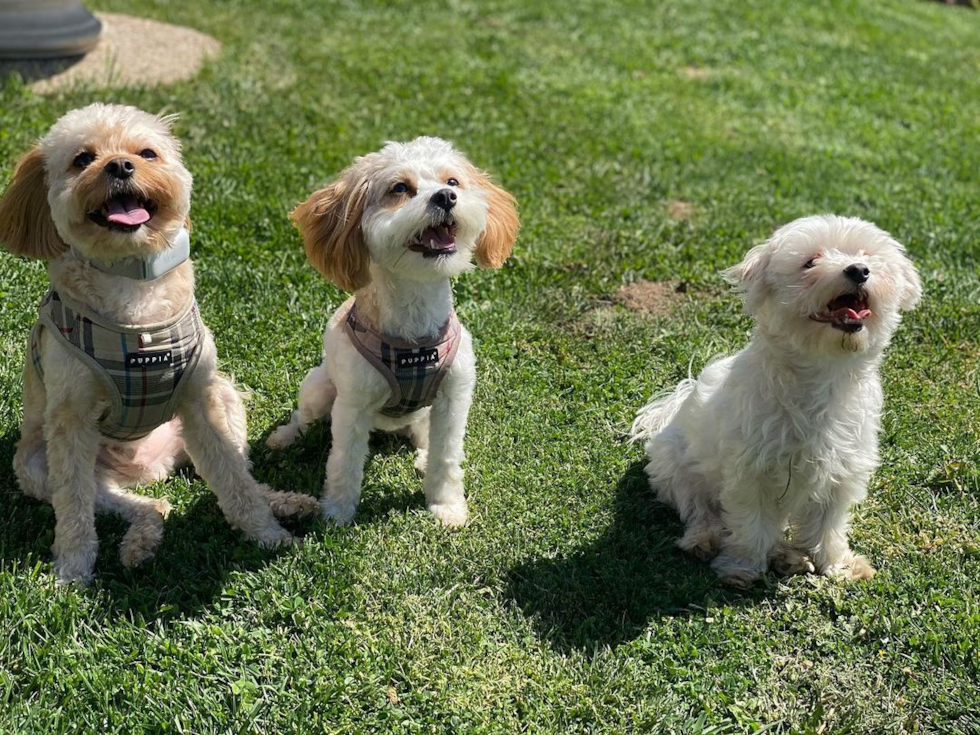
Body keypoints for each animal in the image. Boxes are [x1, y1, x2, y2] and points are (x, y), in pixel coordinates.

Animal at [0, 105, 316, 588]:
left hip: (225, 396)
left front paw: (268, 536)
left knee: (237, 471)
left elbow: (236, 483)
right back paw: (139, 544)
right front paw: (72, 571)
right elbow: (73, 509)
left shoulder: (202, 402)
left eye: (146, 153)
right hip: (36, 464)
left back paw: (285, 502)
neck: (131, 285)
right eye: (82, 159)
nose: (119, 165)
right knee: (141, 505)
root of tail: (149, 468)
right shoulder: (69, 421)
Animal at [260, 137, 520, 528]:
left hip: (424, 414)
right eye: (399, 188)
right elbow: (344, 462)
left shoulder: (454, 397)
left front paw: (447, 506)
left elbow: (447, 456)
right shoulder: (351, 405)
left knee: (425, 440)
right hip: (319, 387)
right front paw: (336, 512)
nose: (446, 197)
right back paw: (285, 436)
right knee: (302, 417)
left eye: (453, 181)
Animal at [632, 216, 924, 588]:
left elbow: (828, 524)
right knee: (700, 509)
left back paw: (789, 556)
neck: (820, 373)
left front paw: (838, 564)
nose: (859, 270)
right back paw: (706, 539)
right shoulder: (750, 470)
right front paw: (742, 567)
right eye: (810, 262)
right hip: (675, 468)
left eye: (867, 255)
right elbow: (751, 524)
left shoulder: (841, 470)